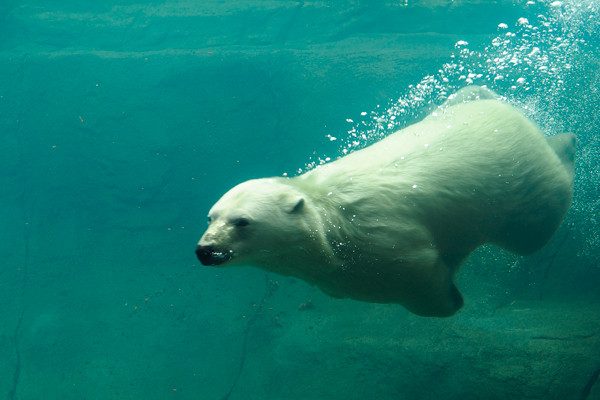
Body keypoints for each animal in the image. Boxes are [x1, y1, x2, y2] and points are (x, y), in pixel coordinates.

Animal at [195, 86, 576, 316]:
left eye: (242, 221)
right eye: (211, 217)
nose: (205, 250)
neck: (330, 223)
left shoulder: (378, 239)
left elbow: (420, 273)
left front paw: (452, 299)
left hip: (517, 181)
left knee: (536, 227)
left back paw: (567, 142)